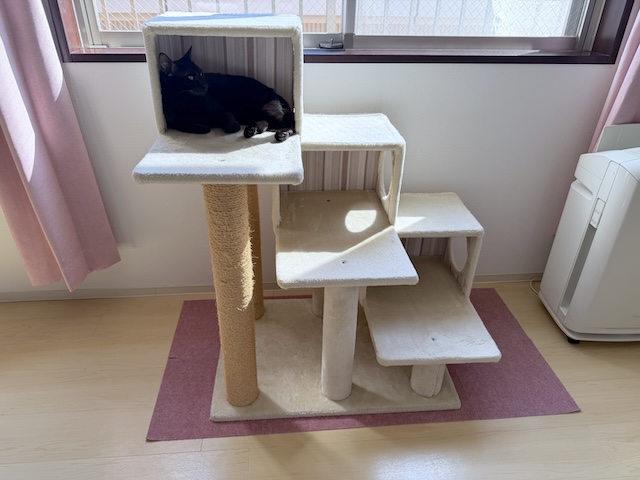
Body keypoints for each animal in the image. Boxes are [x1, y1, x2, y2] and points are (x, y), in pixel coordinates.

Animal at [157, 47, 295, 142]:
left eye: (201, 73)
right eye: (190, 77)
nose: (205, 85)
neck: (185, 101)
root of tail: (273, 91)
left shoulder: (222, 111)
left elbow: (230, 124)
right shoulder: (173, 122)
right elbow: (186, 125)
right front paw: (202, 126)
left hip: (264, 109)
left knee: (290, 122)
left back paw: (282, 133)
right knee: (267, 123)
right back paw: (252, 129)